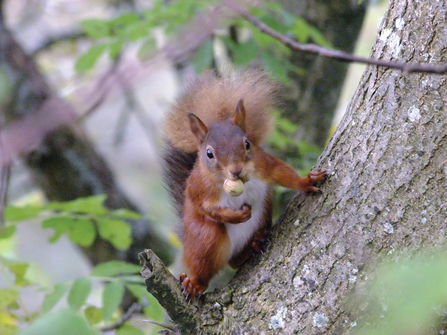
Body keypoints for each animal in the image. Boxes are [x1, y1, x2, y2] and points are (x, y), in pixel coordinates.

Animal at [163, 69, 328, 300]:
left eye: (247, 143)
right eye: (209, 153)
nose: (236, 170)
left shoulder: (263, 164)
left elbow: (283, 173)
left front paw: (306, 181)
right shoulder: (198, 188)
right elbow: (205, 208)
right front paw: (236, 216)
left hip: (263, 215)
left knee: (235, 260)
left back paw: (253, 245)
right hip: (205, 239)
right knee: (209, 265)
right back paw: (194, 284)